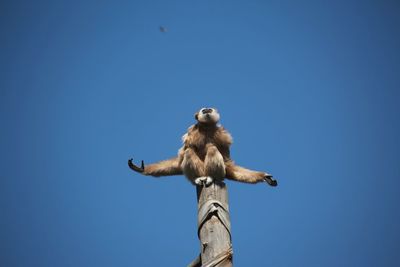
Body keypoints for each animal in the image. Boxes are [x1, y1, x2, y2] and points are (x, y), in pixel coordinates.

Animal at [129, 108, 278, 187]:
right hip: (201, 169)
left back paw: (212, 177)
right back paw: (198, 178)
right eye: (204, 110)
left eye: (209, 109)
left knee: (212, 149)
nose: (206, 111)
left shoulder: (223, 135)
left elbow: (228, 164)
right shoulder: (190, 132)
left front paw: (263, 176)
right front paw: (142, 169)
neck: (206, 128)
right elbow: (179, 161)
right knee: (189, 152)